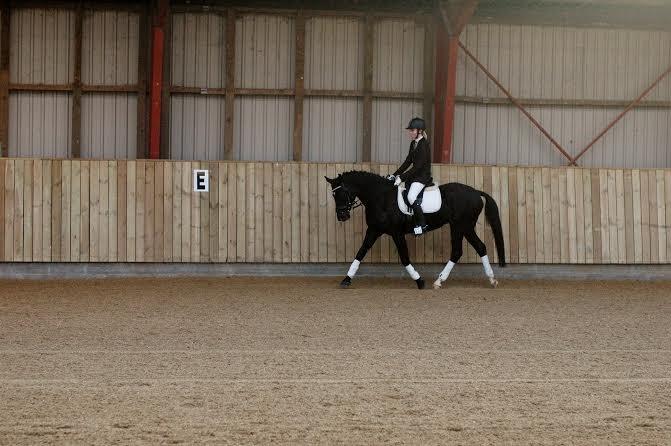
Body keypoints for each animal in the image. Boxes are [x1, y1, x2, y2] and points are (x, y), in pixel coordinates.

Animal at [326, 171, 510, 290]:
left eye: (342, 192)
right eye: (334, 195)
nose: (342, 216)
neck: (381, 197)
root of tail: (475, 192)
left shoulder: (396, 233)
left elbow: (404, 257)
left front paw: (419, 280)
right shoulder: (374, 230)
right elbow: (361, 252)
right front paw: (346, 279)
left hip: (461, 226)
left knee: (466, 249)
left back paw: (442, 281)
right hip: (462, 227)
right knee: (472, 249)